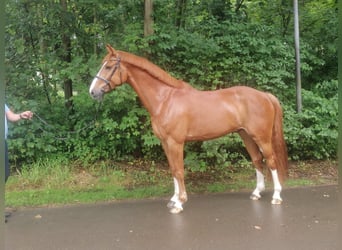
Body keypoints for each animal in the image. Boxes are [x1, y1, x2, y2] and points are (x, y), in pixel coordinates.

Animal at [89, 44, 288, 213]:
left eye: (108, 67)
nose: (92, 91)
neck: (165, 100)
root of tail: (265, 95)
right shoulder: (165, 143)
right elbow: (172, 169)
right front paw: (174, 199)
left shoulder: (175, 142)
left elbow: (179, 170)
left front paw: (179, 202)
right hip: (246, 135)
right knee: (257, 160)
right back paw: (256, 193)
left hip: (261, 137)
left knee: (271, 161)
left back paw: (277, 196)